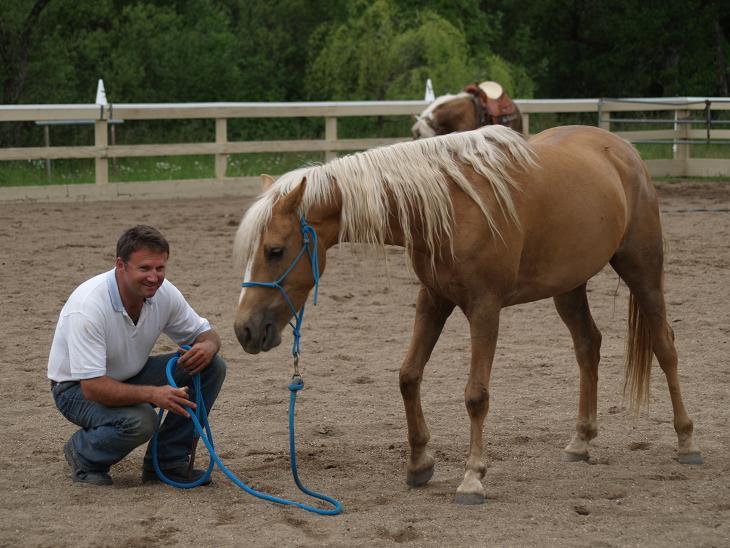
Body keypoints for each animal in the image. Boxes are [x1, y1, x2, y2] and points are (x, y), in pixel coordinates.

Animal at [232, 124, 700, 506]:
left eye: (275, 250)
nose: (244, 329)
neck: (452, 205)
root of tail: (622, 149)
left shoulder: (484, 309)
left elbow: (476, 395)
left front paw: (472, 478)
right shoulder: (433, 299)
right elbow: (408, 376)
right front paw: (419, 463)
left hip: (642, 269)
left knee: (665, 345)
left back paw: (686, 441)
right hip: (569, 286)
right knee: (588, 345)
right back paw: (580, 441)